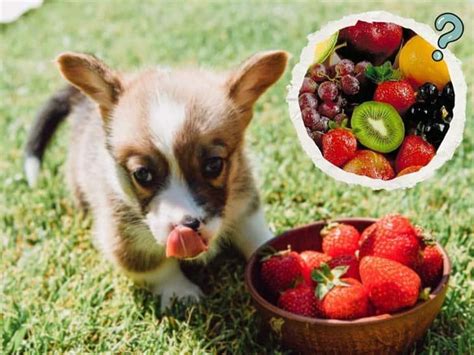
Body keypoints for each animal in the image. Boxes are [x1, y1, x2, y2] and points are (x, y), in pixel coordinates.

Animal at [25, 50, 288, 308]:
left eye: (214, 165)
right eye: (142, 174)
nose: (188, 225)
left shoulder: (244, 204)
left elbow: (255, 236)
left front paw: (279, 254)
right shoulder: (126, 240)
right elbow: (158, 268)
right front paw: (180, 293)